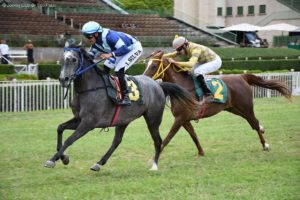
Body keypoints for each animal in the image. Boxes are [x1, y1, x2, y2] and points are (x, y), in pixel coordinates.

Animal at [44, 46, 199, 170]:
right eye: (62, 60)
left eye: (73, 60)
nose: (63, 79)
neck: (89, 89)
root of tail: (158, 85)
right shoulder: (79, 119)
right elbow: (60, 128)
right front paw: (62, 158)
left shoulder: (88, 123)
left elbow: (69, 140)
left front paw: (53, 160)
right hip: (123, 121)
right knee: (116, 141)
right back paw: (99, 163)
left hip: (153, 119)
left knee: (158, 141)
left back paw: (154, 165)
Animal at [144, 50, 292, 156]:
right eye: (147, 64)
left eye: (154, 65)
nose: (144, 77)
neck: (182, 88)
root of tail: (242, 76)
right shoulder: (184, 119)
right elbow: (193, 135)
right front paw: (201, 152)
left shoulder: (181, 118)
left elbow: (168, 138)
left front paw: (154, 158)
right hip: (235, 109)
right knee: (254, 123)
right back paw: (262, 130)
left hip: (246, 107)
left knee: (254, 123)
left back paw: (265, 145)